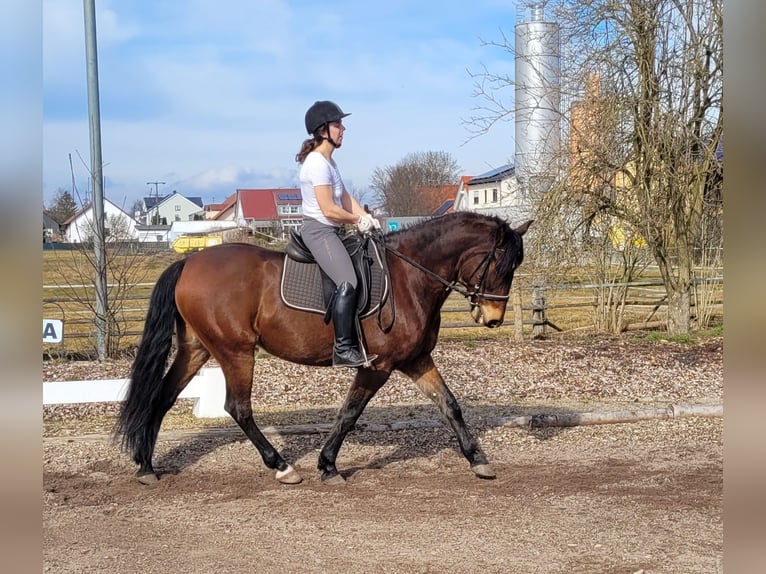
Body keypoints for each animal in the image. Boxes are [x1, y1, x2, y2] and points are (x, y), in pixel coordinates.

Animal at [117, 214, 532, 488]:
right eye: (500, 264)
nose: (493, 318)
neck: (410, 278)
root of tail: (189, 260)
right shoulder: (377, 366)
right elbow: (349, 413)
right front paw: (328, 465)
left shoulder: (416, 360)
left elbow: (450, 405)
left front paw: (478, 460)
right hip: (236, 351)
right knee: (238, 408)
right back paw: (282, 466)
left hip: (197, 348)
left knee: (162, 398)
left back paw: (146, 465)